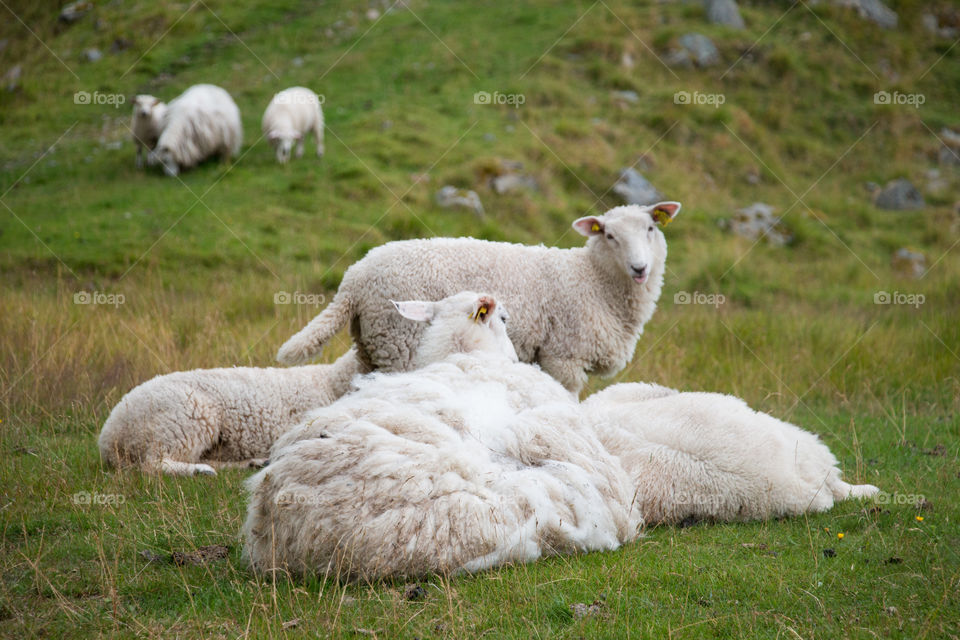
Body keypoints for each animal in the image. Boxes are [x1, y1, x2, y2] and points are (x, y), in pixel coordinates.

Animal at [99, 344, 364, 476]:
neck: (330, 382)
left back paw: (252, 463)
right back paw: (199, 471)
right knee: (153, 463)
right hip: (184, 420)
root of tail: (109, 437)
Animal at [278, 202, 684, 398]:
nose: (639, 268)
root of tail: (354, 279)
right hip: (399, 345)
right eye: (610, 236)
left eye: (651, 228)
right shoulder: (563, 357)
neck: (593, 279)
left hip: (372, 348)